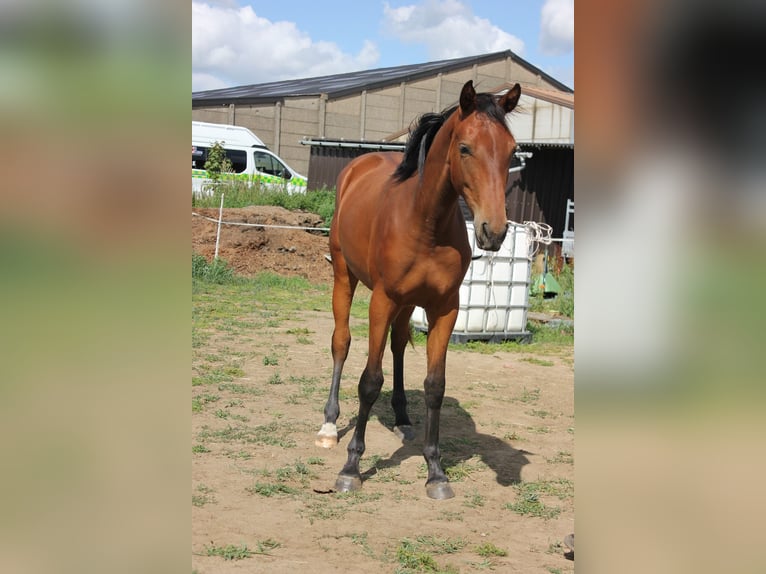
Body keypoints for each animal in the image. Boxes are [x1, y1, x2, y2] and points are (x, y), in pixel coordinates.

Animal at [315, 80, 521, 499]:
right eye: (465, 148)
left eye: (511, 150)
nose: (493, 232)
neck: (425, 222)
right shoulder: (381, 301)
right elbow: (369, 381)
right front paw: (351, 467)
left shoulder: (444, 309)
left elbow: (434, 385)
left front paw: (436, 471)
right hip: (345, 277)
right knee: (341, 342)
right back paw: (329, 425)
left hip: (408, 304)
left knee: (397, 345)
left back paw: (402, 419)